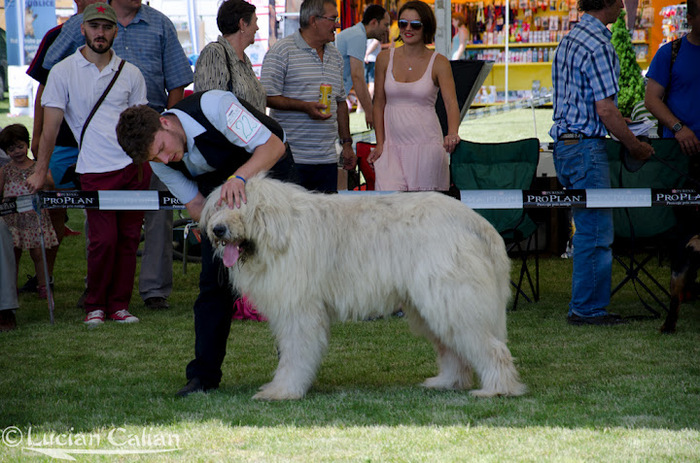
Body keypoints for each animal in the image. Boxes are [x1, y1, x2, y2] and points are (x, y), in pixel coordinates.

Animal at [201, 176, 524, 400]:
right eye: (219, 206)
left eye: (241, 207)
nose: (217, 230)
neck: (278, 232)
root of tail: (478, 223)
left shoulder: (299, 311)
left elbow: (295, 354)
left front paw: (282, 390)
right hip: (434, 303)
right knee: (453, 349)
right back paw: (447, 382)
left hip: (452, 298)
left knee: (491, 348)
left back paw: (498, 389)